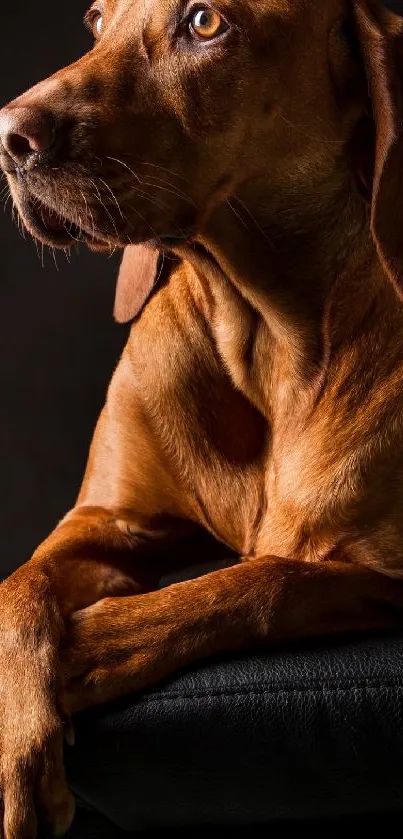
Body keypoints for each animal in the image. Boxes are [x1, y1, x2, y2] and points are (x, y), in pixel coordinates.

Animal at [0, 0, 403, 836]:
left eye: (205, 21)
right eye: (95, 19)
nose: (9, 136)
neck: (267, 331)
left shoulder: (383, 576)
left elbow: (262, 580)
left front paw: (91, 644)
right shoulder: (104, 522)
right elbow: (17, 588)